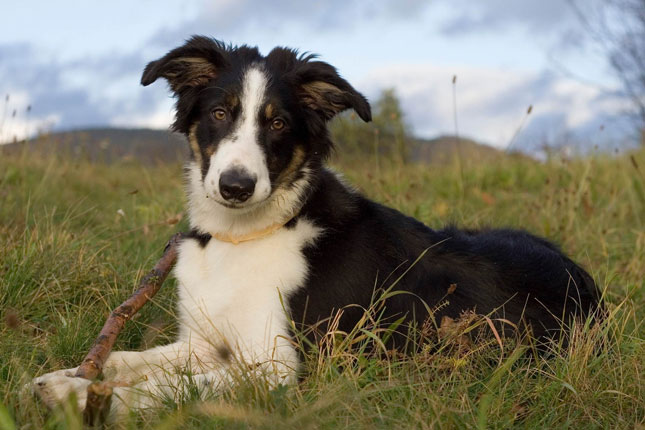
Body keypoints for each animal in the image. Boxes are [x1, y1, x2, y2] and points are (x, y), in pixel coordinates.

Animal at [34, 36, 600, 416]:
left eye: (278, 123)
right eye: (219, 113)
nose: (236, 186)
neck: (246, 234)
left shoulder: (287, 368)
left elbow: (171, 386)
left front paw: (90, 398)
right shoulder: (204, 340)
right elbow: (129, 358)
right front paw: (63, 380)